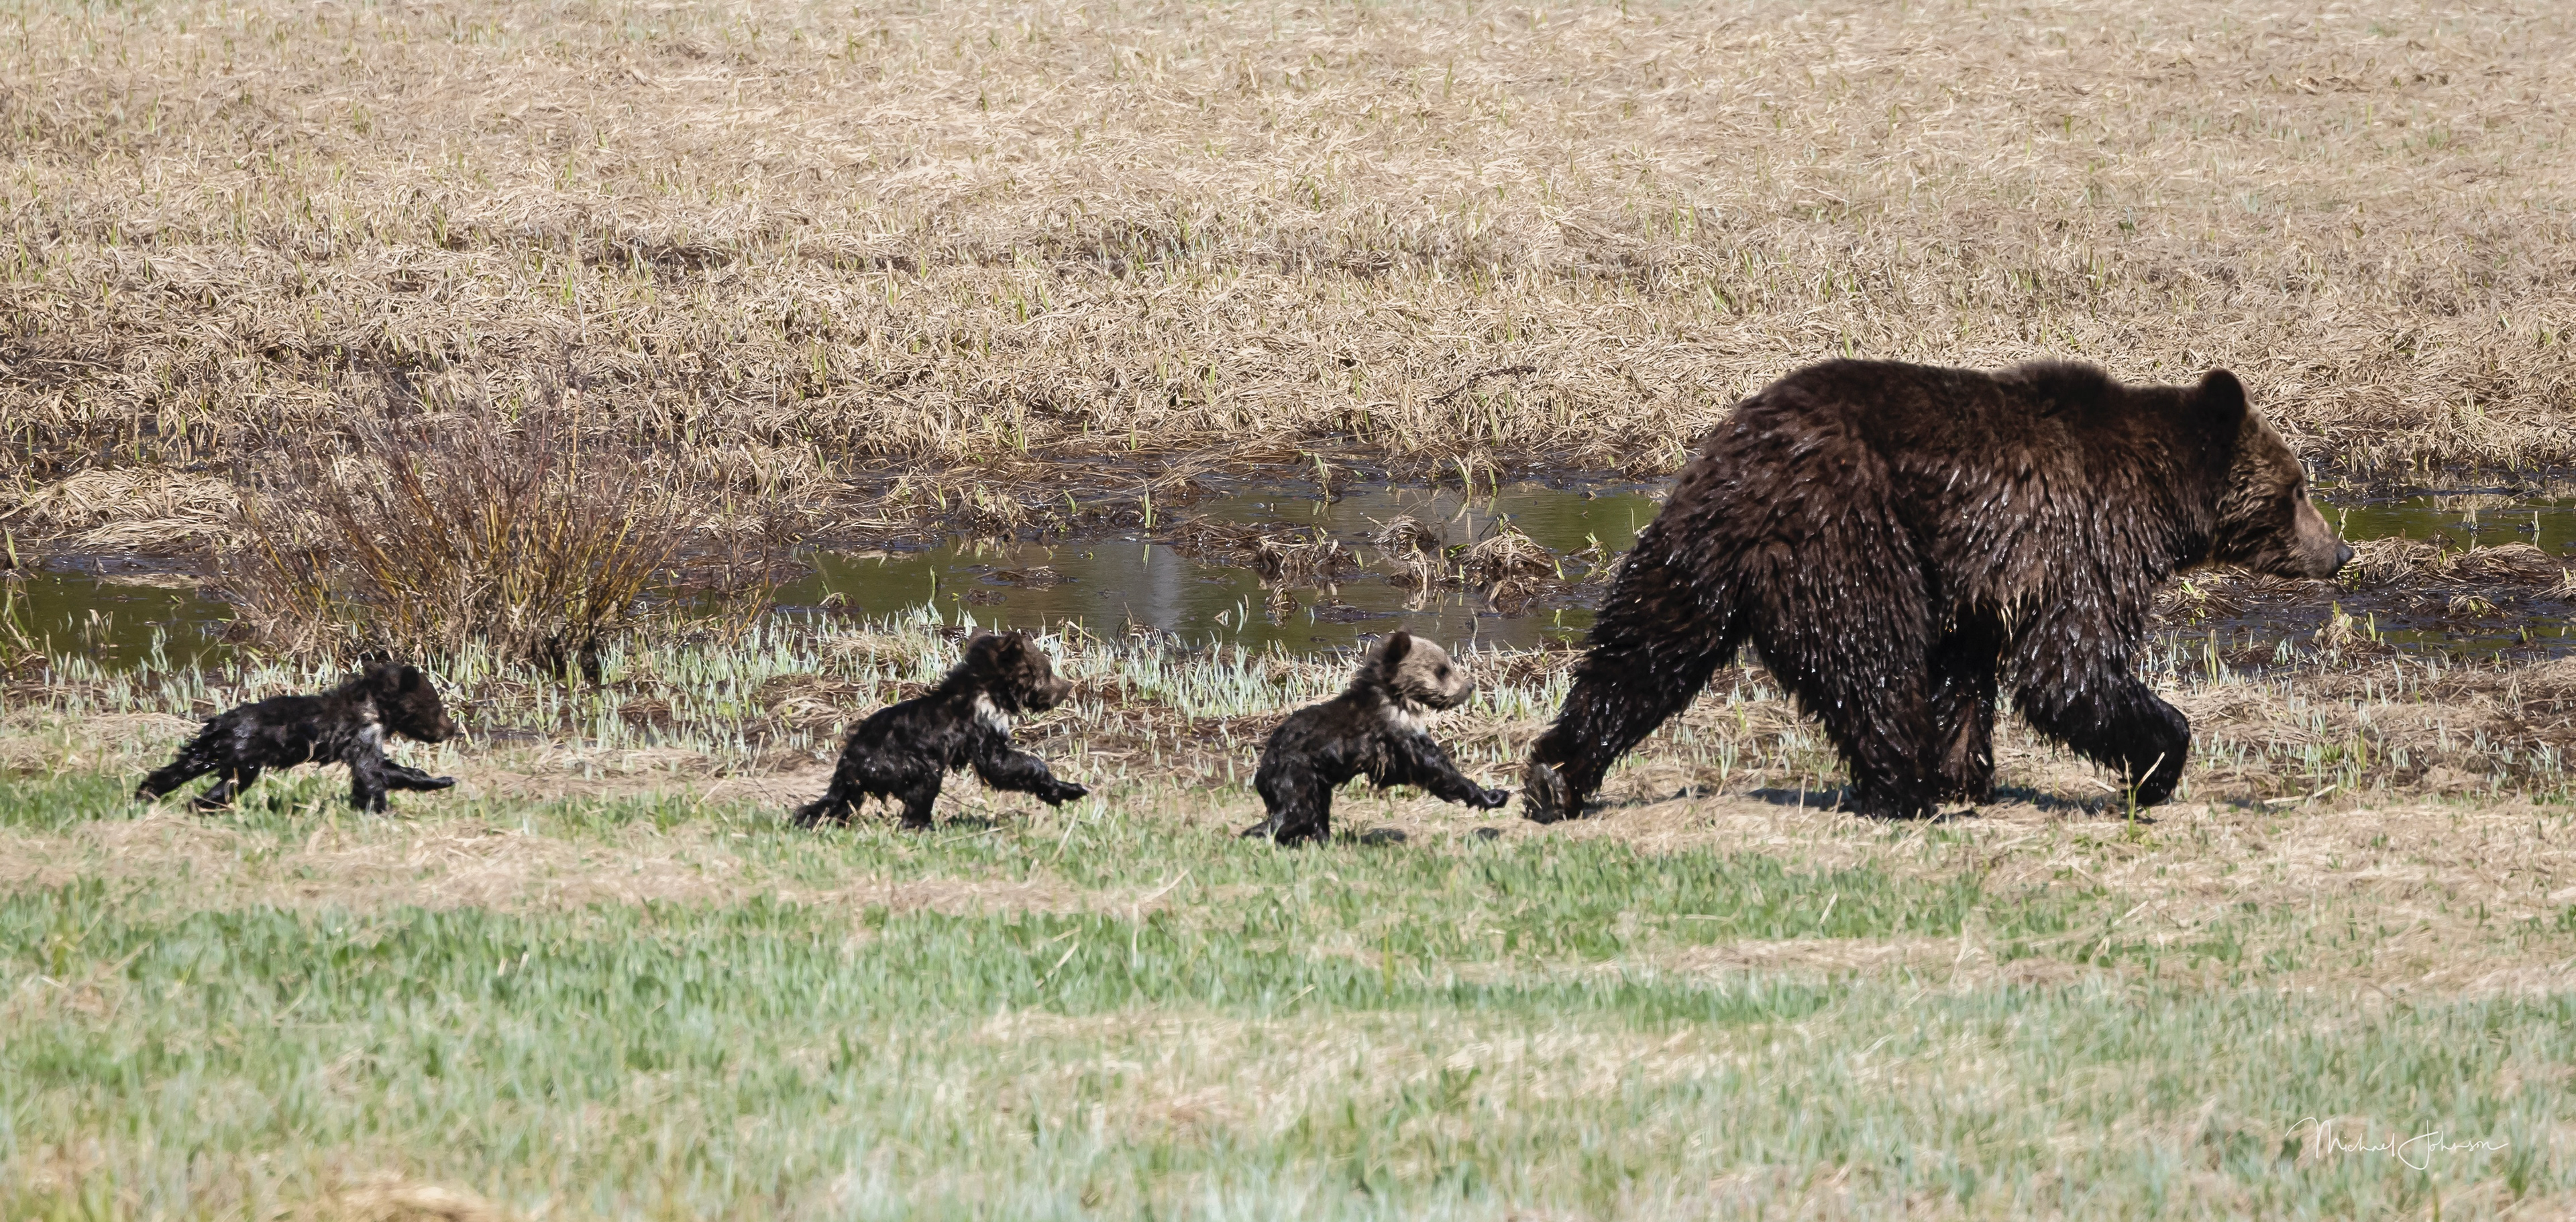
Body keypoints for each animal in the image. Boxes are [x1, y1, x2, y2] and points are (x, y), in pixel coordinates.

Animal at [137, 660, 460, 812]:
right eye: (436, 707)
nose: (452, 729)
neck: (375, 708)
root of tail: (219, 724)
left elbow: (386, 769)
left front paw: (441, 780)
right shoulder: (362, 735)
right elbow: (371, 774)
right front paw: (381, 810)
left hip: (216, 752)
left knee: (185, 768)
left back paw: (150, 794)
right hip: (244, 756)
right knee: (229, 783)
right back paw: (199, 805)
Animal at [792, 629, 1089, 829]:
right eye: (1048, 670)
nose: (1067, 687)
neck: (992, 693)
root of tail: (850, 760)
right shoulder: (980, 727)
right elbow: (1001, 765)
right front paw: (1070, 789)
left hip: (859, 778)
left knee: (836, 802)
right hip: (901, 762)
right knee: (923, 785)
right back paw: (922, 825)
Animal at [1243, 629, 1513, 845]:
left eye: (1448, 665)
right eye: (1442, 670)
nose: (1469, 687)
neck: (1395, 697)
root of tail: (1263, 768)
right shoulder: (1394, 733)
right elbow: (1433, 766)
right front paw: (1492, 795)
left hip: (1316, 783)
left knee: (1314, 813)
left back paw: (1324, 840)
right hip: (1297, 774)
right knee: (1297, 813)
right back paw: (1255, 835)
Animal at [1521, 359, 2351, 822]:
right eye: (2298, 488)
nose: (2339, 548)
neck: (2157, 499)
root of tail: (1745, 467)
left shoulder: (1983, 582)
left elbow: (1969, 673)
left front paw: (1968, 773)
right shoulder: (2079, 543)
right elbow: (2070, 669)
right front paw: (2158, 761)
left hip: (1694, 547)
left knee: (1641, 649)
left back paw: (1555, 774)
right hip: (1849, 530)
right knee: (1873, 657)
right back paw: (1903, 786)